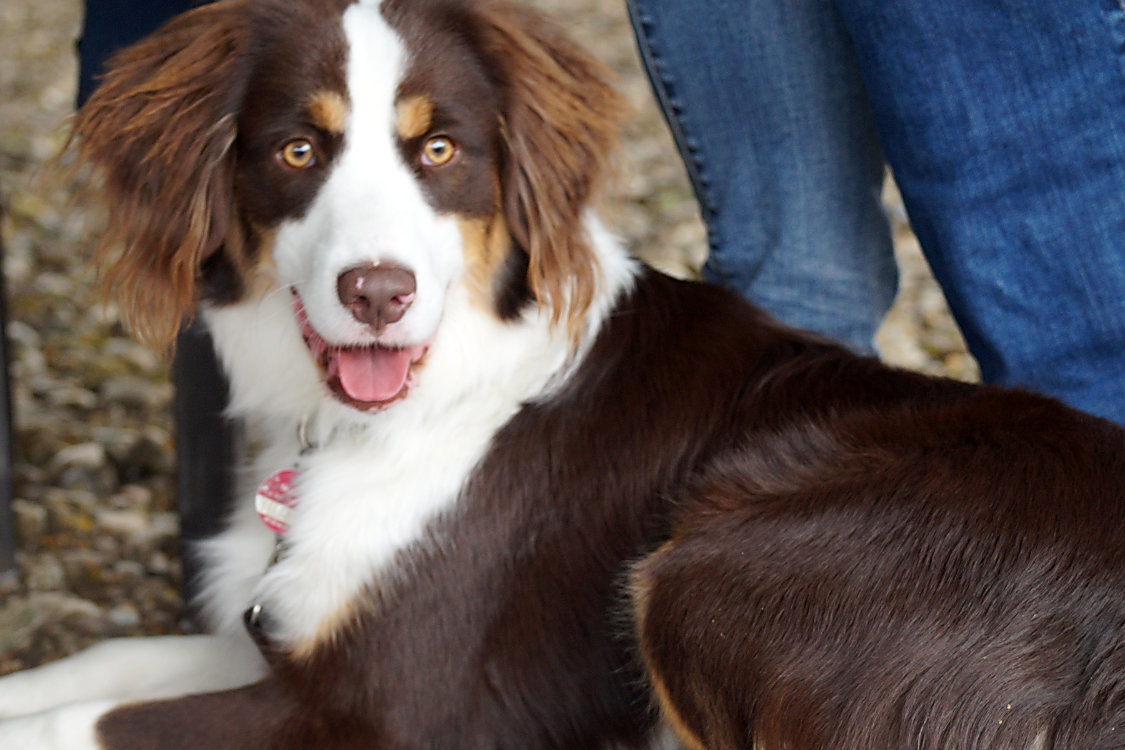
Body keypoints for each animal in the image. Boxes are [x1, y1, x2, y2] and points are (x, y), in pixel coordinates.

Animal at [2, 0, 1125, 746]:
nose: (378, 292)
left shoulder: (395, 711)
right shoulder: (286, 639)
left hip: (703, 570)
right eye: (297, 151)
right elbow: (95, 667)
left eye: (440, 150)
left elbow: (80, 721)